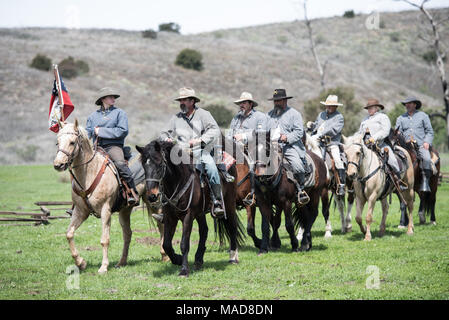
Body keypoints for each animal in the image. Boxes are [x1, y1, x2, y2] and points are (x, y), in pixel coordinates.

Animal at [52, 121, 164, 274]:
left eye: (72, 142)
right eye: (58, 142)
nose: (58, 164)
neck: (89, 173)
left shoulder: (105, 211)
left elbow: (104, 240)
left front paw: (103, 267)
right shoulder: (80, 212)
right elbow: (69, 233)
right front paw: (81, 263)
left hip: (153, 200)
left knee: (161, 224)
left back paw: (165, 255)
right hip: (125, 210)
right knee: (127, 233)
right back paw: (122, 262)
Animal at [136, 140, 245, 278]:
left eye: (160, 164)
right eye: (144, 166)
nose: (152, 196)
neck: (179, 180)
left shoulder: (188, 216)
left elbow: (184, 243)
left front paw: (183, 270)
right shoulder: (170, 217)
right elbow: (166, 244)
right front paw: (177, 259)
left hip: (229, 204)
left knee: (232, 226)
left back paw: (233, 257)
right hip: (200, 213)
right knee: (204, 230)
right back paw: (198, 259)